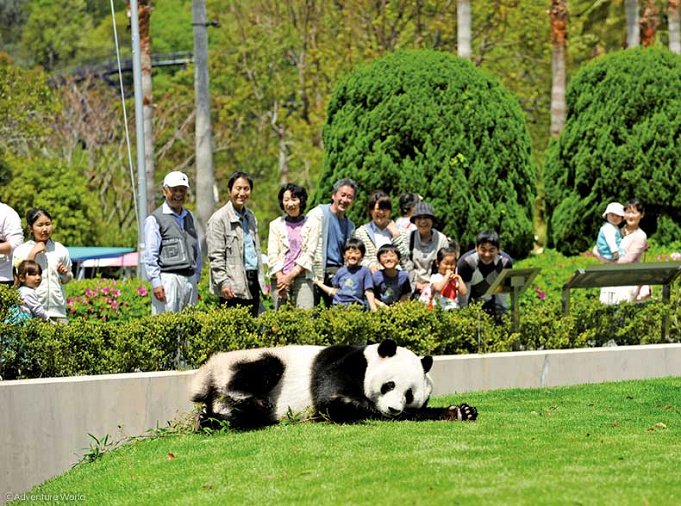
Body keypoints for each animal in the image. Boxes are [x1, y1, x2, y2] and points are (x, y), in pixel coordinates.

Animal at [190, 338, 478, 428]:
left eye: (409, 395)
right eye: (389, 385)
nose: (393, 409)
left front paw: (460, 411)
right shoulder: (344, 362)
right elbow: (329, 397)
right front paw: (355, 405)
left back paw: (213, 418)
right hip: (241, 361)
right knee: (264, 369)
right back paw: (247, 398)